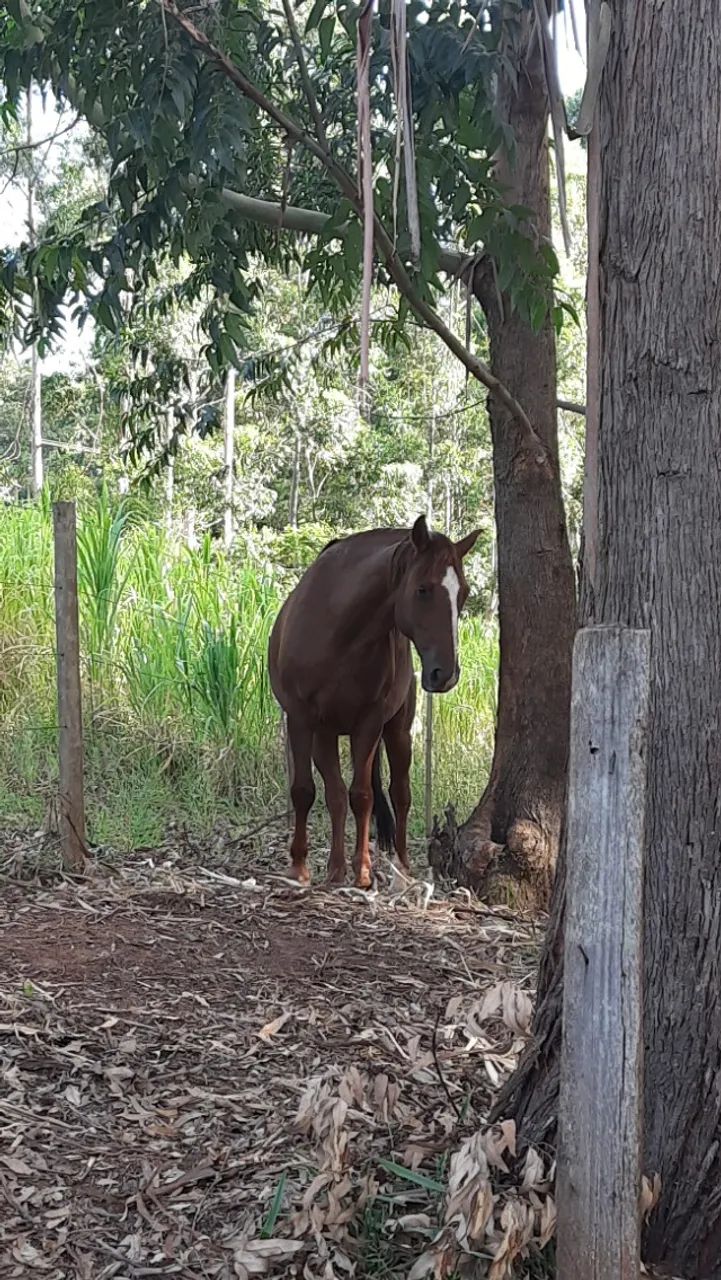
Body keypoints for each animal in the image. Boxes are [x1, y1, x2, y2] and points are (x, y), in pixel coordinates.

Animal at [268, 514, 480, 888]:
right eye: (423, 589)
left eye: (464, 593)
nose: (445, 674)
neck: (338, 631)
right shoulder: (301, 718)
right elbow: (307, 791)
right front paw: (300, 867)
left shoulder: (367, 723)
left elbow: (363, 795)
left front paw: (363, 869)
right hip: (325, 734)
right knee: (336, 795)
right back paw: (336, 868)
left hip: (397, 732)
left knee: (400, 794)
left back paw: (401, 865)